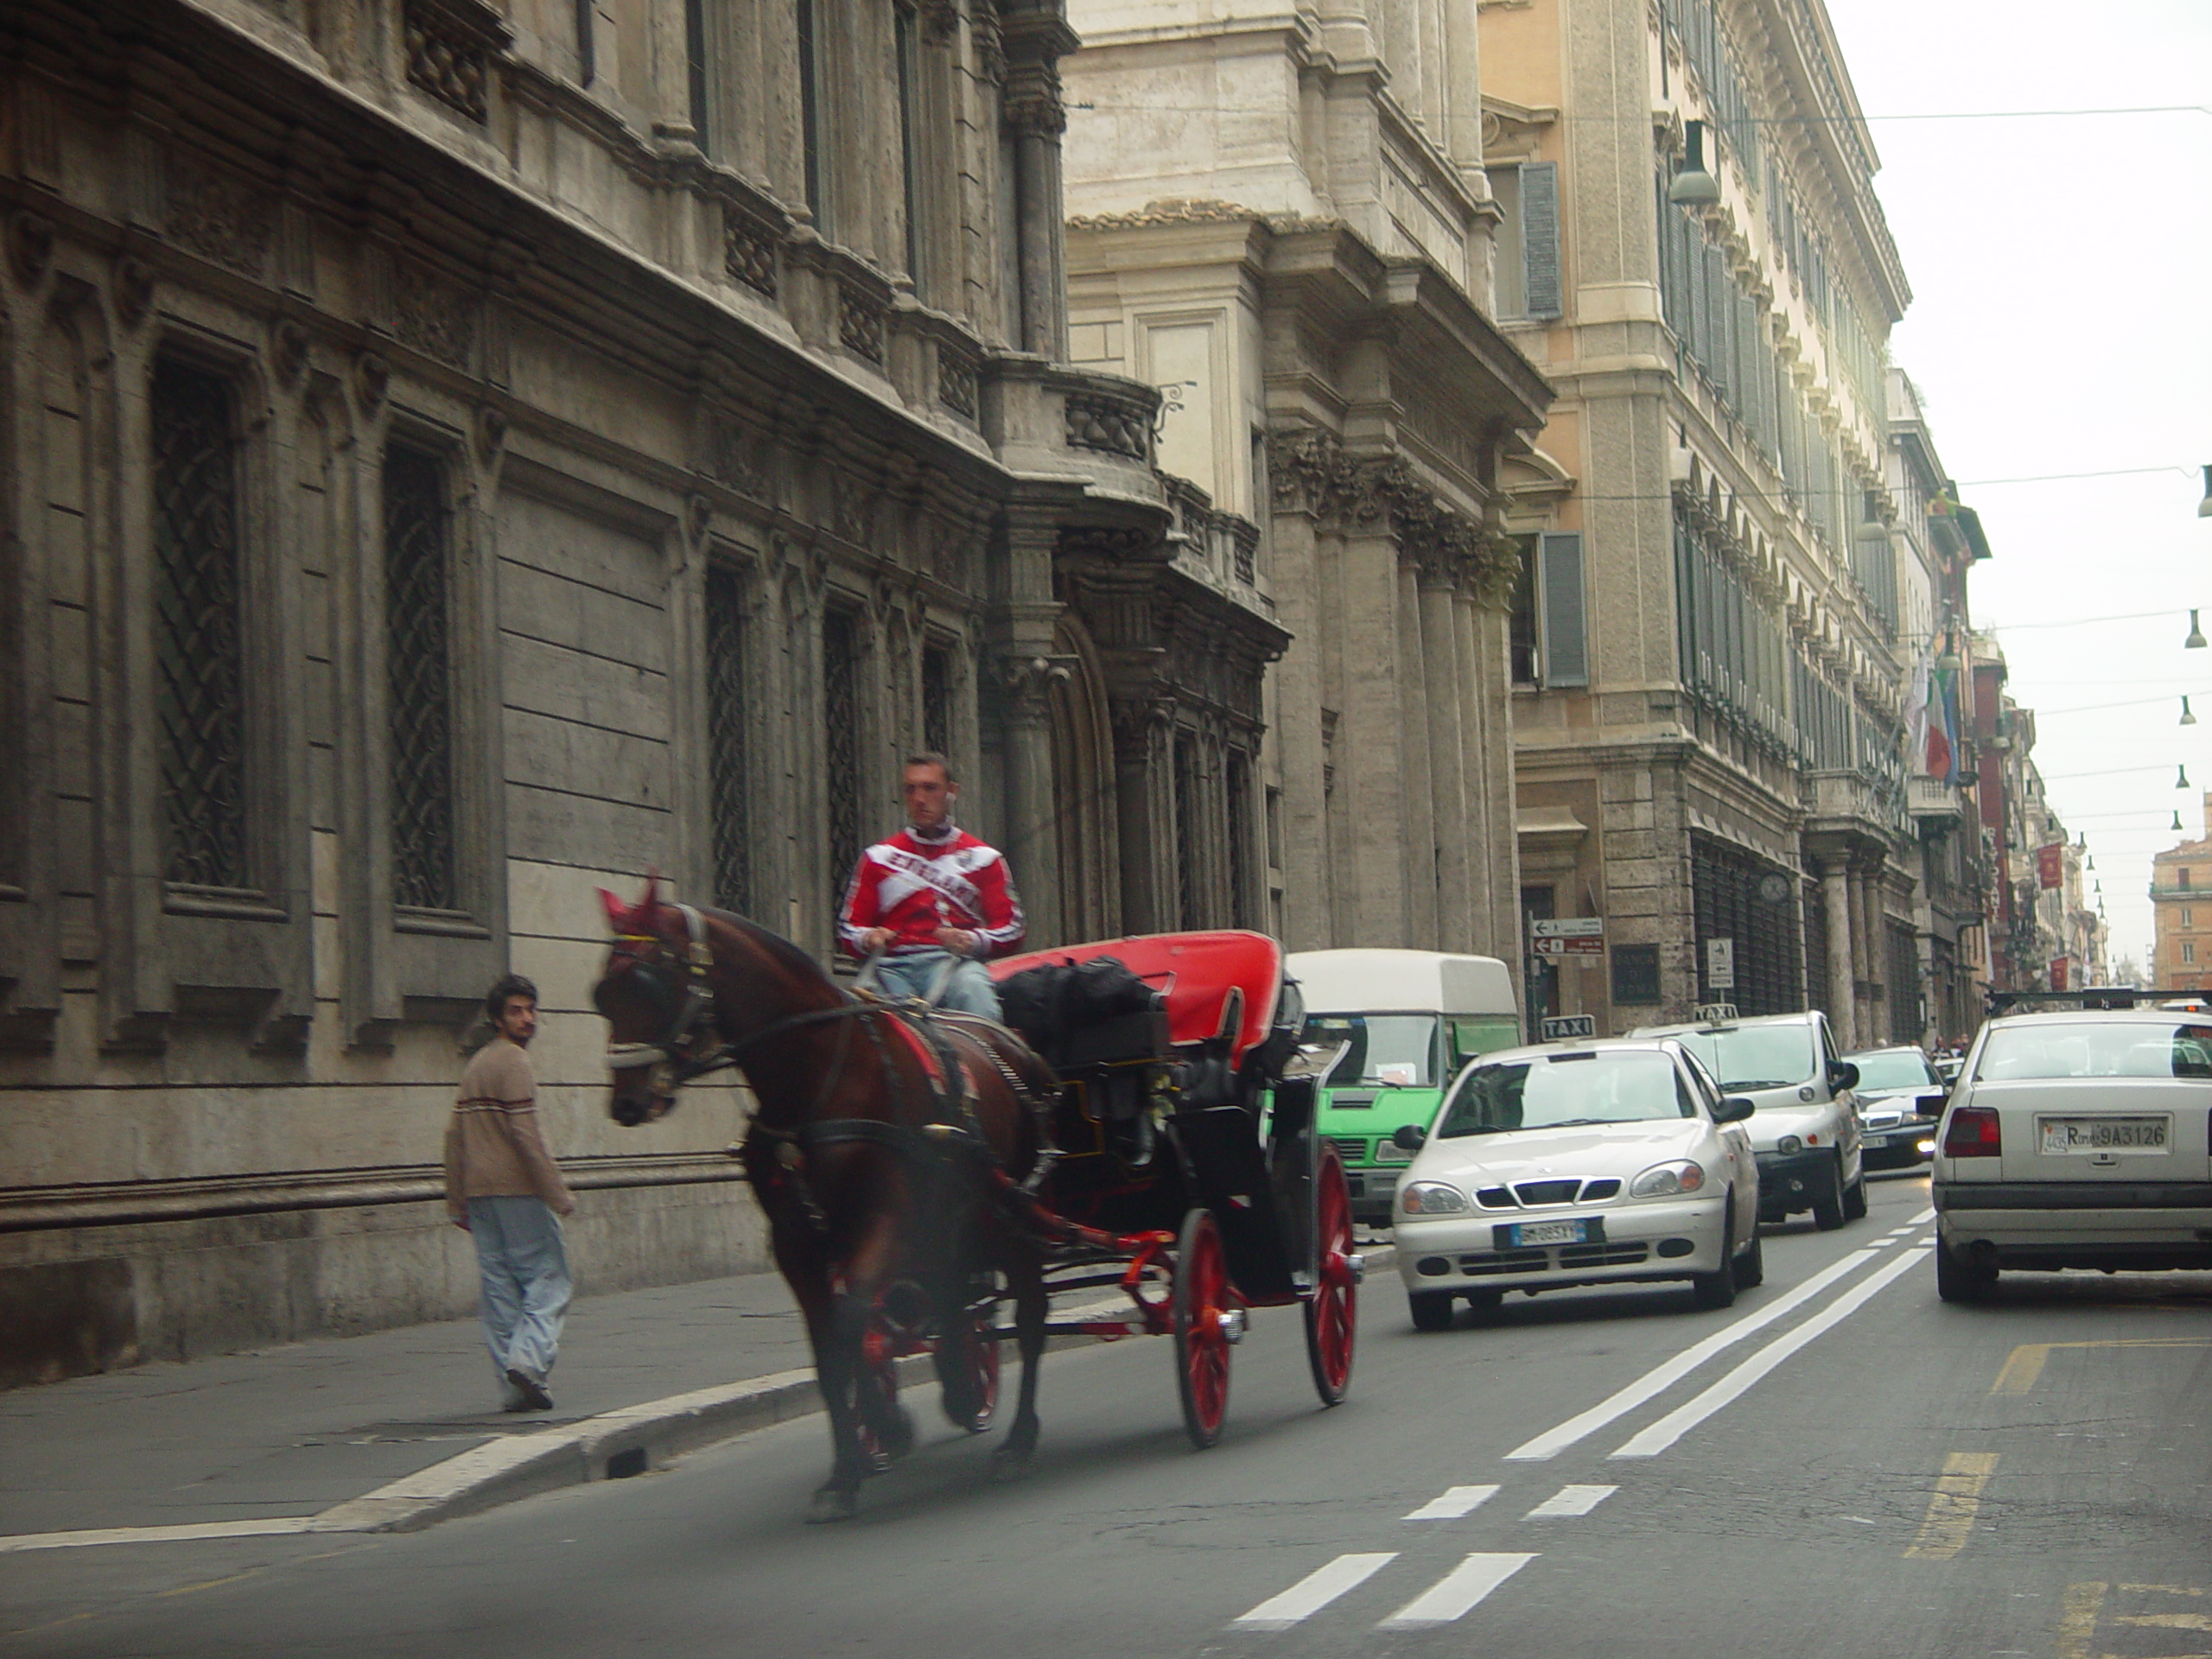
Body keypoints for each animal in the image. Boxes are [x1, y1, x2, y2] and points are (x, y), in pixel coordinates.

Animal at [593, 885, 1065, 1522]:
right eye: (601, 994)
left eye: (646, 982)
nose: (626, 1103)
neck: (818, 1080)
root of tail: (1018, 1049)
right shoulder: (796, 1244)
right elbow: (831, 1350)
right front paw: (848, 1469)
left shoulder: (886, 1220)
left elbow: (852, 1321)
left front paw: (885, 1427)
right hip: (957, 1223)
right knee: (953, 1304)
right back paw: (964, 1391)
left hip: (1010, 1218)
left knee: (1032, 1316)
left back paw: (1017, 1439)